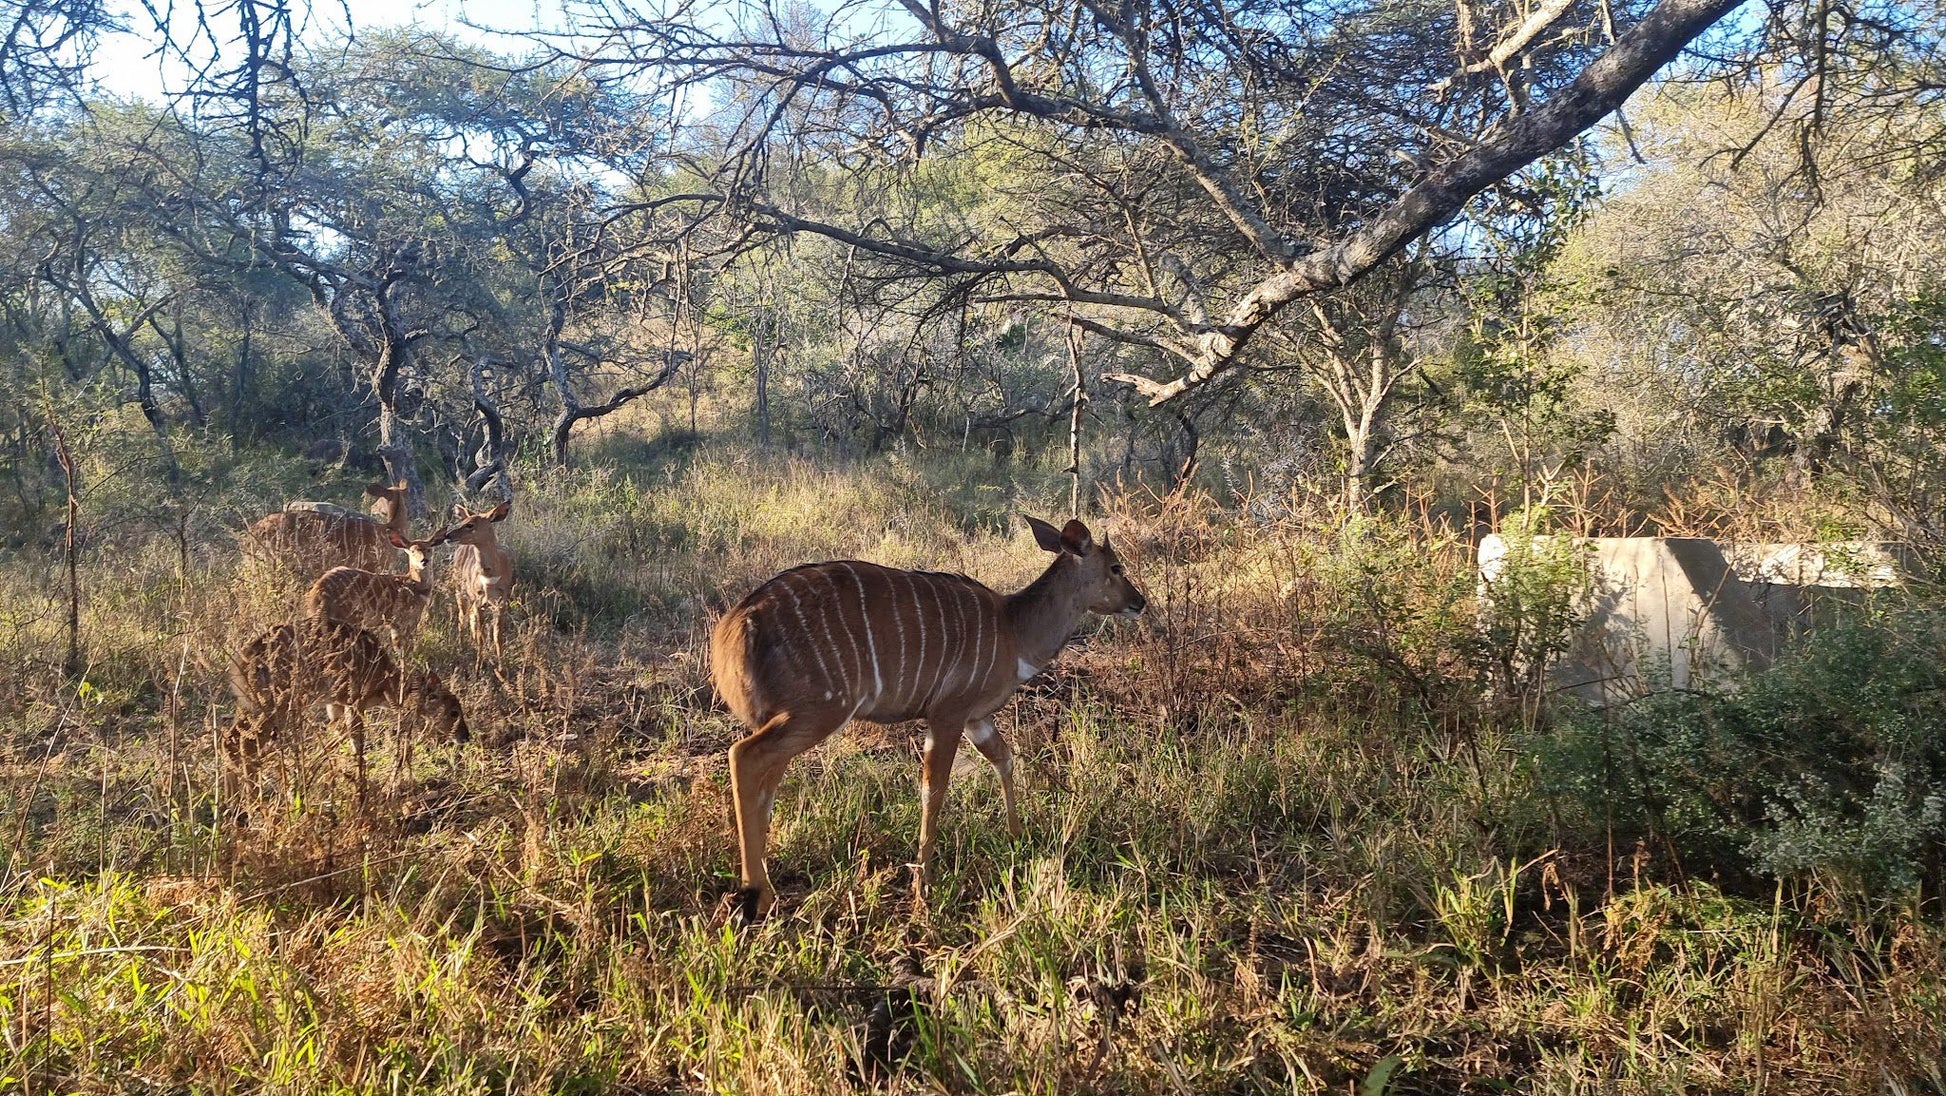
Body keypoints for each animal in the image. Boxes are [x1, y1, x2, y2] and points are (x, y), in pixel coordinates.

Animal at [224, 619, 470, 805]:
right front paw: (362, 791)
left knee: (231, 740)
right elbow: (357, 746)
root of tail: (240, 662)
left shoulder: (335, 705)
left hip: (251, 705)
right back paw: (251, 804)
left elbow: (338, 741)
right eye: (454, 712)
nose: (465, 736)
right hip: (277, 703)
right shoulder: (355, 703)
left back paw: (232, 805)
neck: (387, 683)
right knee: (242, 743)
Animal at [301, 529, 445, 646]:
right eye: (412, 551)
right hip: (349, 616)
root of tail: (317, 594)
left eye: (429, 549)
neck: (414, 585)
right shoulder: (403, 619)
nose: (424, 561)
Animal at [445, 498, 513, 661]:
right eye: (462, 521)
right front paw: (479, 665)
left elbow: (498, 637)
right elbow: (481, 636)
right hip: (460, 591)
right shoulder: (479, 601)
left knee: (470, 619)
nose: (448, 536)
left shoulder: (501, 602)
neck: (491, 577)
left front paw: (501, 665)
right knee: (462, 618)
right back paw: (461, 647)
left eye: (470, 525)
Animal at [712, 513, 1136, 918]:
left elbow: (1004, 759)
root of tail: (734, 630)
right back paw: (753, 893)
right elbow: (934, 790)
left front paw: (1017, 835)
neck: (1014, 630)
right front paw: (924, 887)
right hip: (818, 711)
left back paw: (765, 890)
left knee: (765, 785)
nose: (1140, 602)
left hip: (787, 718)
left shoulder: (975, 718)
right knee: (743, 756)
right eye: (1116, 567)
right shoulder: (948, 712)